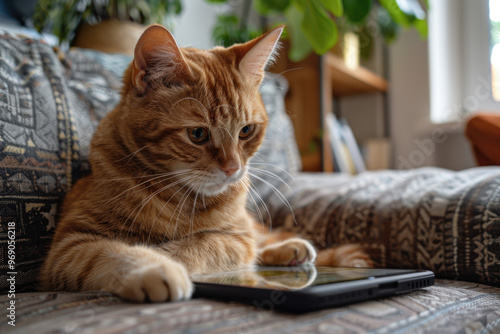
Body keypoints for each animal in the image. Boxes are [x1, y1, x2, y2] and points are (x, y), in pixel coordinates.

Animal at [40, 24, 372, 302]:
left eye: (246, 131)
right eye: (197, 134)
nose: (233, 169)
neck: (179, 198)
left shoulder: (234, 238)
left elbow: (198, 246)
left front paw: (168, 257)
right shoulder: (69, 244)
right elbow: (109, 251)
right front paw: (153, 267)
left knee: (259, 239)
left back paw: (290, 248)